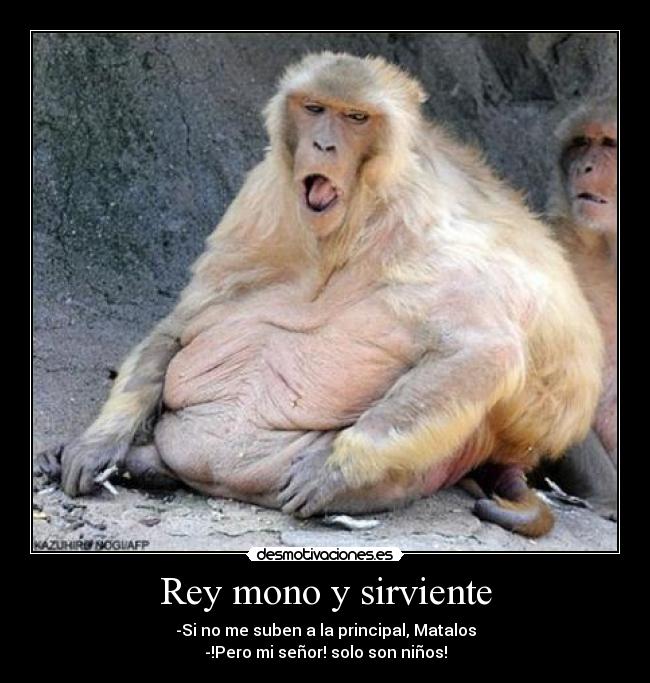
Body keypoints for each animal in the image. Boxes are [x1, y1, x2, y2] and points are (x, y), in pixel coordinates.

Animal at [37, 52, 604, 538]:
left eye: (356, 117)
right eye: (315, 109)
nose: (325, 146)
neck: (340, 235)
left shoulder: (423, 226)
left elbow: (484, 350)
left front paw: (334, 473)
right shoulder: (261, 202)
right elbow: (182, 325)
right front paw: (98, 444)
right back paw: (138, 464)